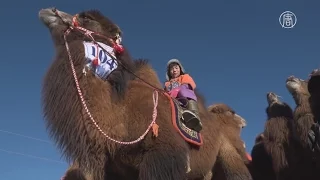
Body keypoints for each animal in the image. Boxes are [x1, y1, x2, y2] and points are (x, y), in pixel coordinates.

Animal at [38, 7, 251, 180]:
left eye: (87, 17)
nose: (49, 11)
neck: (120, 112)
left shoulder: (163, 158)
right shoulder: (113, 168)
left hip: (230, 156)